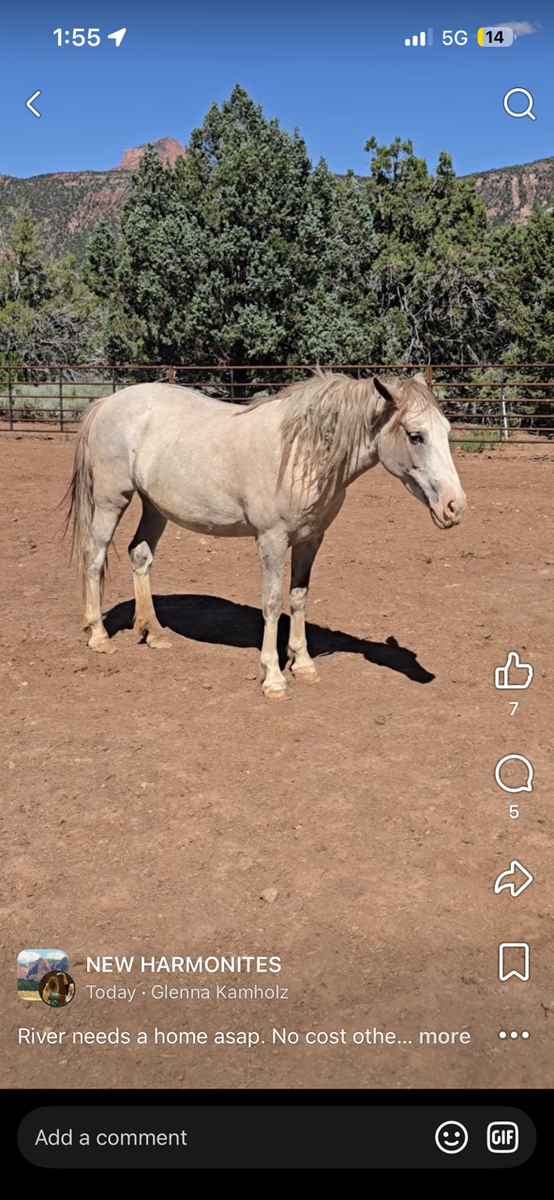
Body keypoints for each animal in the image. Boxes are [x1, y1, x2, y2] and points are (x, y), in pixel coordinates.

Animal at [65, 370, 466, 698]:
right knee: (94, 556)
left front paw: (303, 664)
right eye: (416, 436)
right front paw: (273, 677)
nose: (455, 506)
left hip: (154, 507)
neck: (303, 453)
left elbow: (299, 597)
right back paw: (99, 635)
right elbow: (272, 603)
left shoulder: (310, 539)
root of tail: (107, 403)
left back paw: (154, 633)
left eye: (446, 431)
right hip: (112, 500)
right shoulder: (271, 540)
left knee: (140, 555)